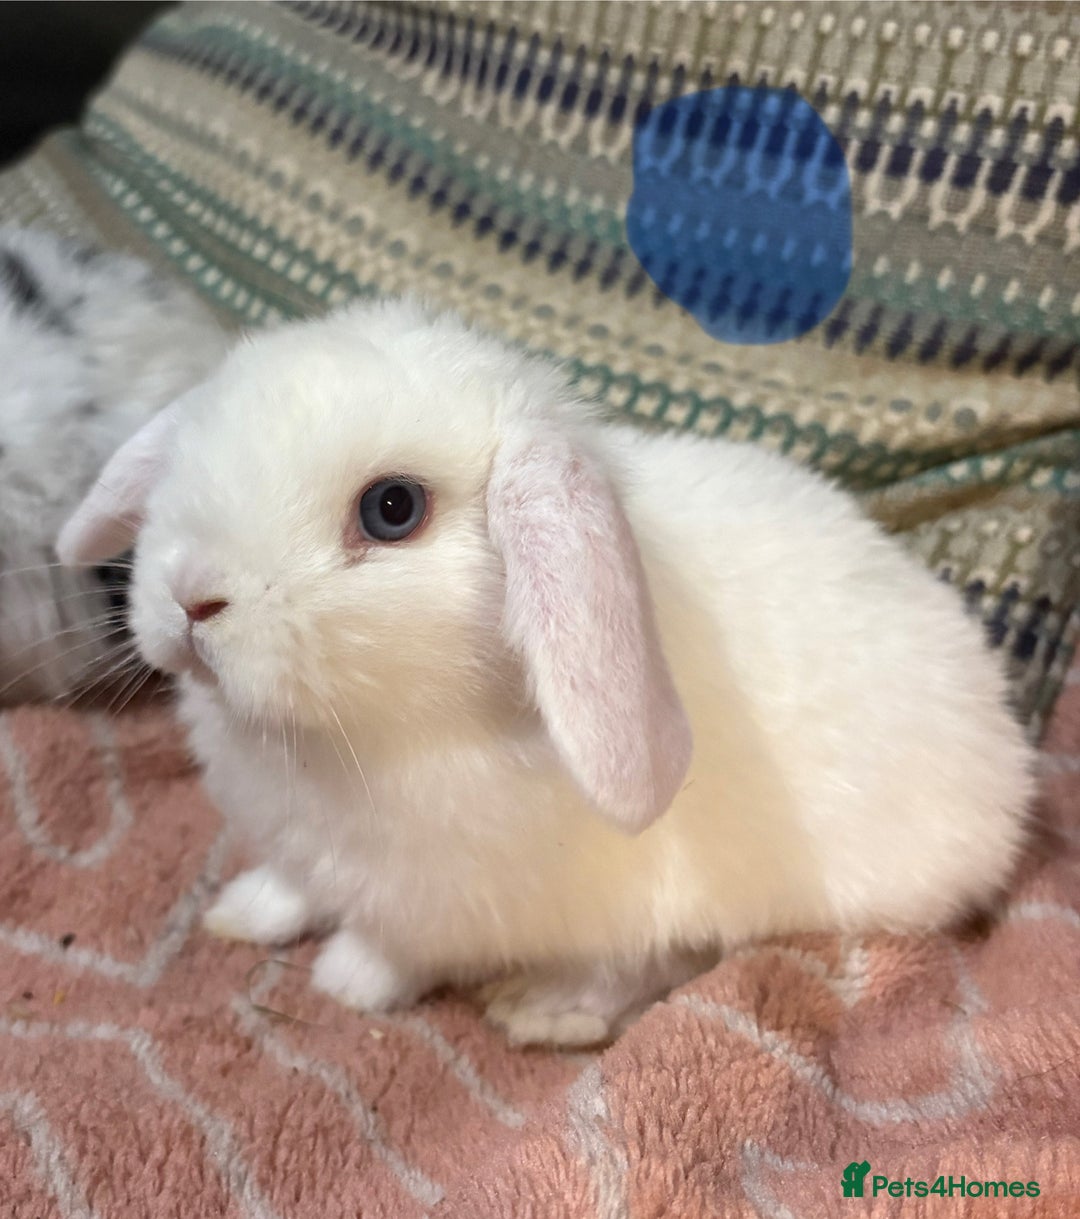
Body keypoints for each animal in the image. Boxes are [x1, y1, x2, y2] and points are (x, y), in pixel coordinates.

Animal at [57, 297, 1035, 1046]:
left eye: (392, 508)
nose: (192, 598)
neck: (343, 737)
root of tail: (1010, 762)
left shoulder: (438, 906)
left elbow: (388, 949)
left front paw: (343, 983)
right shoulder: (306, 849)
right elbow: (291, 888)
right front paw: (240, 912)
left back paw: (542, 1009)